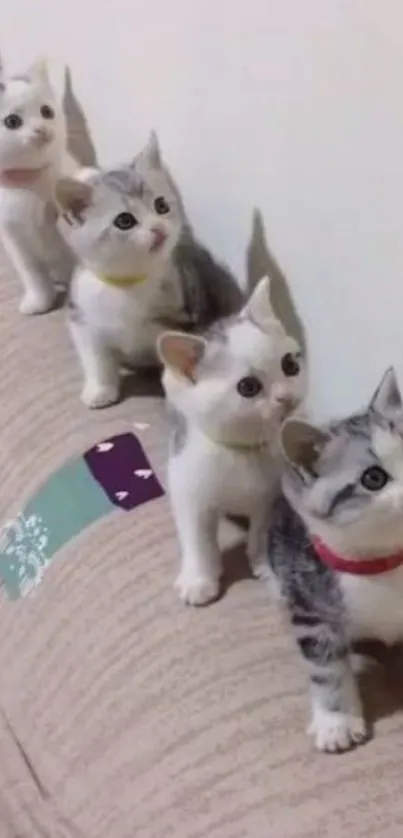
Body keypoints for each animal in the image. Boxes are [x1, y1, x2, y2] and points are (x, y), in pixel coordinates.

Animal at [0, 55, 75, 316]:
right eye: (12, 122)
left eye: (47, 111)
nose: (41, 130)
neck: (28, 181)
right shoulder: (12, 236)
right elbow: (31, 271)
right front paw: (40, 301)